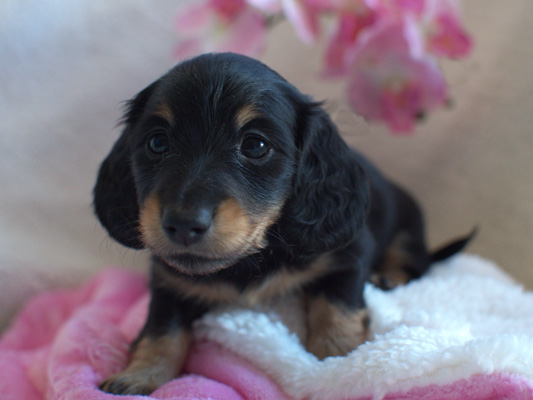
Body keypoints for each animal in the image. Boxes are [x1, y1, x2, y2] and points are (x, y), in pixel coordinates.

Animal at [94, 52, 470, 394]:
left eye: (255, 145)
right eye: (157, 142)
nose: (183, 224)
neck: (250, 259)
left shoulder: (347, 255)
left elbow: (336, 309)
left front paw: (337, 363)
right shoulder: (168, 280)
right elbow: (162, 328)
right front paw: (140, 375)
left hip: (407, 232)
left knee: (414, 264)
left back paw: (388, 278)